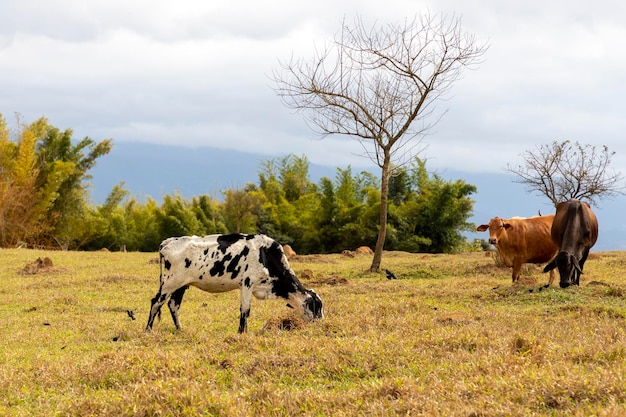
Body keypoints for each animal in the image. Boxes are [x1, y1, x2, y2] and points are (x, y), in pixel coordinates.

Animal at [145, 232, 322, 334]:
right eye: (317, 306)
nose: (320, 322)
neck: (265, 254)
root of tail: (168, 241)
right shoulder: (247, 283)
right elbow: (245, 310)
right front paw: (241, 333)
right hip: (169, 283)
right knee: (156, 302)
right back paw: (148, 329)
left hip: (180, 285)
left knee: (173, 305)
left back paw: (180, 330)